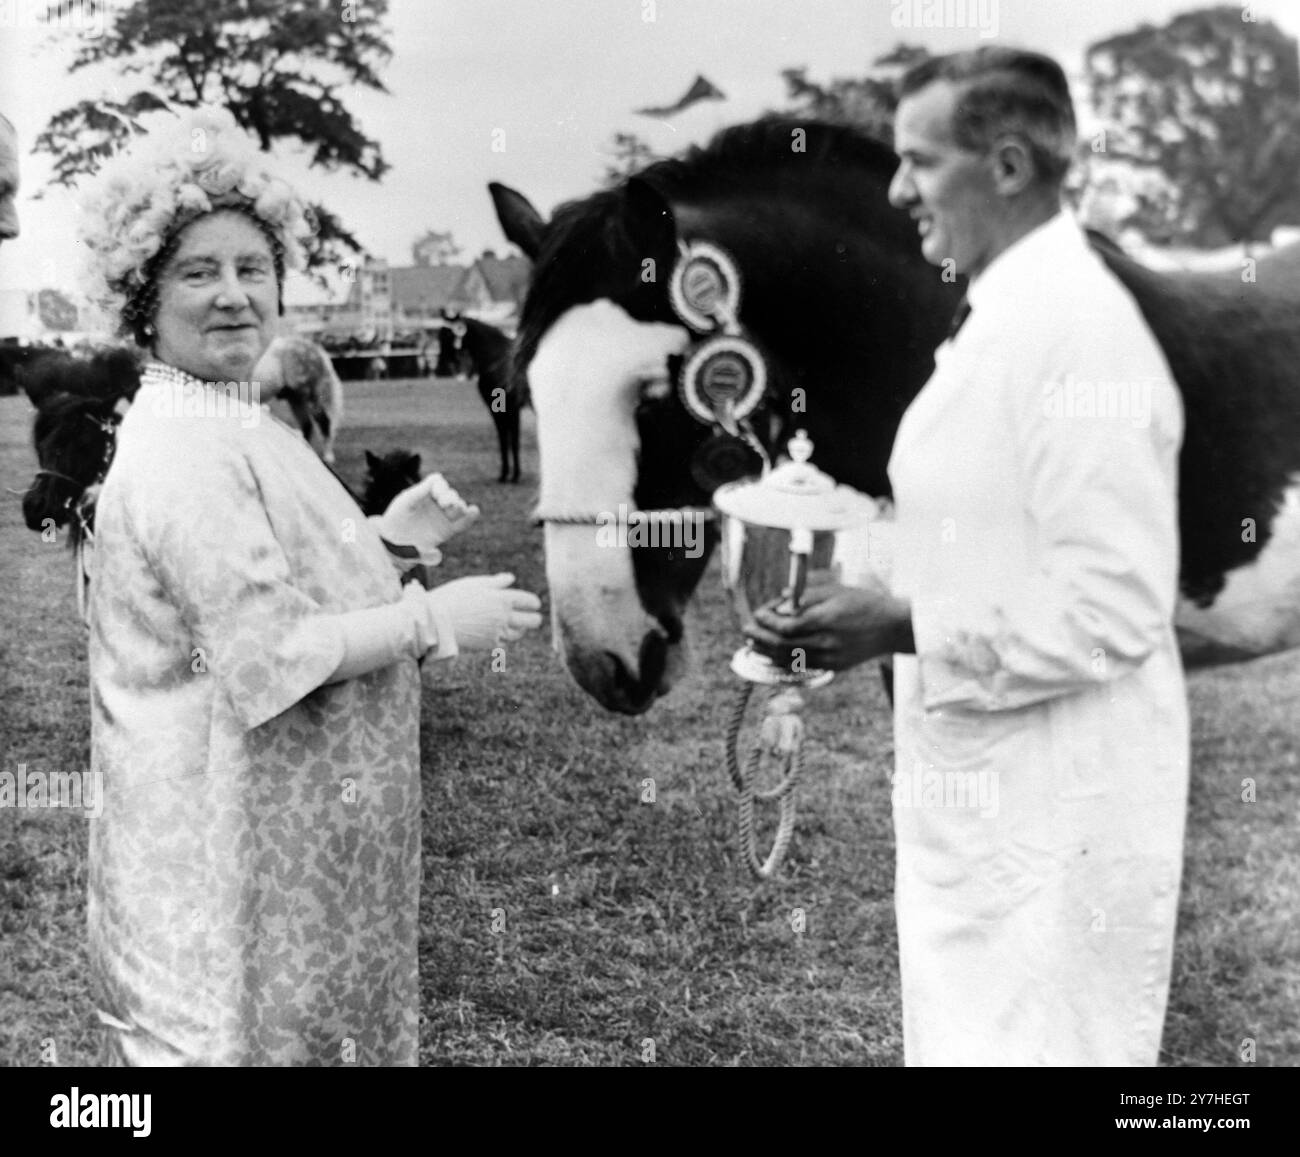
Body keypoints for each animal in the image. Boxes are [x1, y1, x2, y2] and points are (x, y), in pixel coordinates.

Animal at [434, 309, 520, 480]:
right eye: (439, 333)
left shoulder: (511, 409)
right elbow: (503, 439)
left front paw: (514, 476)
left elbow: (513, 439)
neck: (497, 360)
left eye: (449, 334)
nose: (440, 365)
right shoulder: (497, 410)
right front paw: (504, 474)